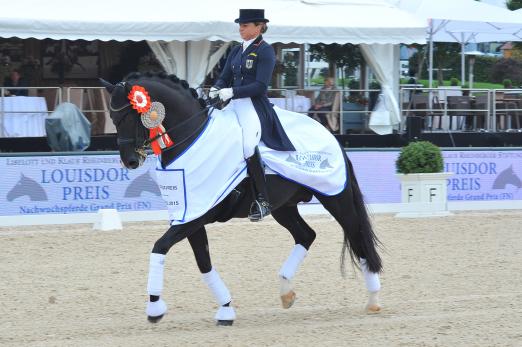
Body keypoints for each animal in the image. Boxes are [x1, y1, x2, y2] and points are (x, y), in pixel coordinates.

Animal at [101, 72, 380, 326]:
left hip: (336, 198)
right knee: (306, 235)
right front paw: (225, 309)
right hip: (284, 207)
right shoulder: (190, 215)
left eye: (128, 116)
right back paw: (286, 291)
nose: (130, 161)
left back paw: (374, 299)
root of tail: (332, 136)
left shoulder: (194, 218)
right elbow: (203, 263)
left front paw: (155, 308)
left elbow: (159, 247)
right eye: (113, 118)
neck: (191, 138)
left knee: (357, 237)